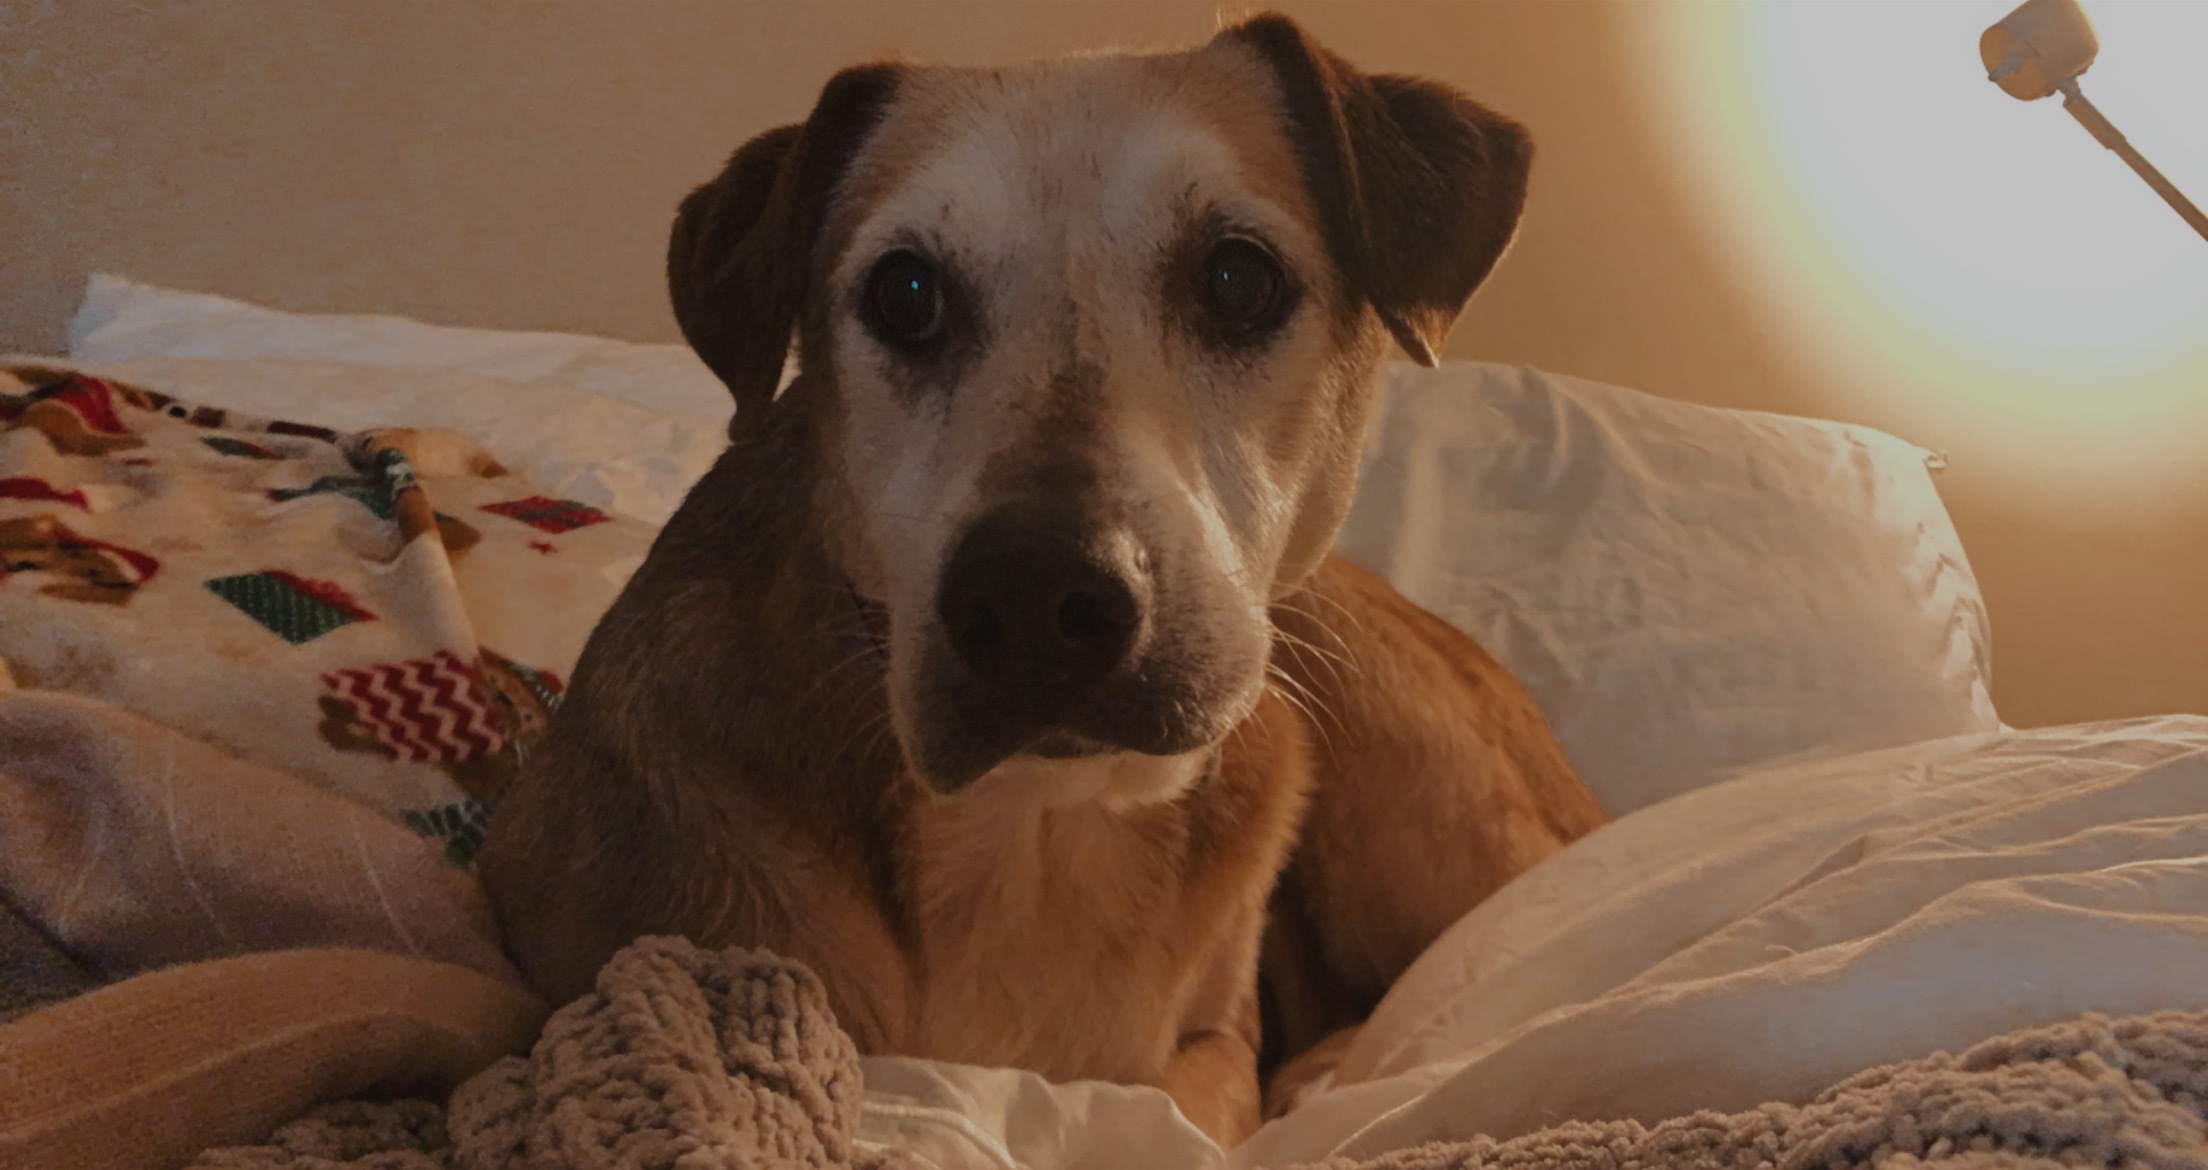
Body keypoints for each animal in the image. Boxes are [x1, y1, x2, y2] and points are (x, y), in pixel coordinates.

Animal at [479, 13, 1607, 1139]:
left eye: (1239, 279)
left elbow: (1177, 1101)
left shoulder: (1214, 1049)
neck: (1042, 827)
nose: (1034, 598)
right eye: (905, 294)